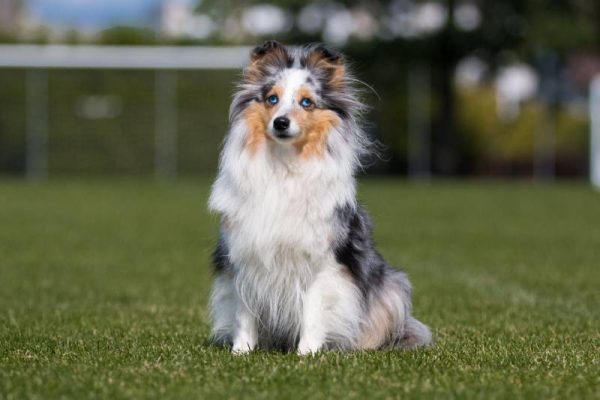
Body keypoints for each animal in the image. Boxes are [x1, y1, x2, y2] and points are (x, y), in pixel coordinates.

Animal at [207, 40, 432, 354]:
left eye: (306, 103)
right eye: (272, 99)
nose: (281, 123)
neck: (285, 166)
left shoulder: (322, 263)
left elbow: (313, 311)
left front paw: (307, 353)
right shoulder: (243, 255)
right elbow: (244, 312)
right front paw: (241, 351)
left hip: (393, 286)